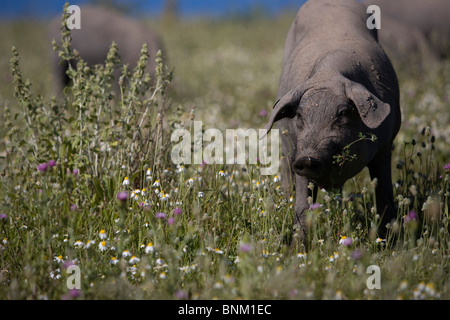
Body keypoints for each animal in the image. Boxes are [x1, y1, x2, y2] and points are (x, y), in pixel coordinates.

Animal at [264, 0, 400, 248]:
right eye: (299, 115)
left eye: (344, 113)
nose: (308, 159)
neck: (329, 74)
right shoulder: (299, 148)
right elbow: (303, 201)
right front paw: (298, 248)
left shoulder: (386, 145)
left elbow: (384, 190)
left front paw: (389, 242)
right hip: (286, 146)